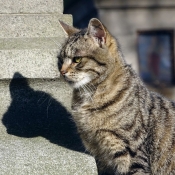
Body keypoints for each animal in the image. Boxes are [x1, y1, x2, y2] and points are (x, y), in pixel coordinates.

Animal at [58, 18, 175, 174]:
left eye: (77, 59)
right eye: (60, 60)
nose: (62, 72)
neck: (88, 96)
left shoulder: (132, 155)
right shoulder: (100, 158)